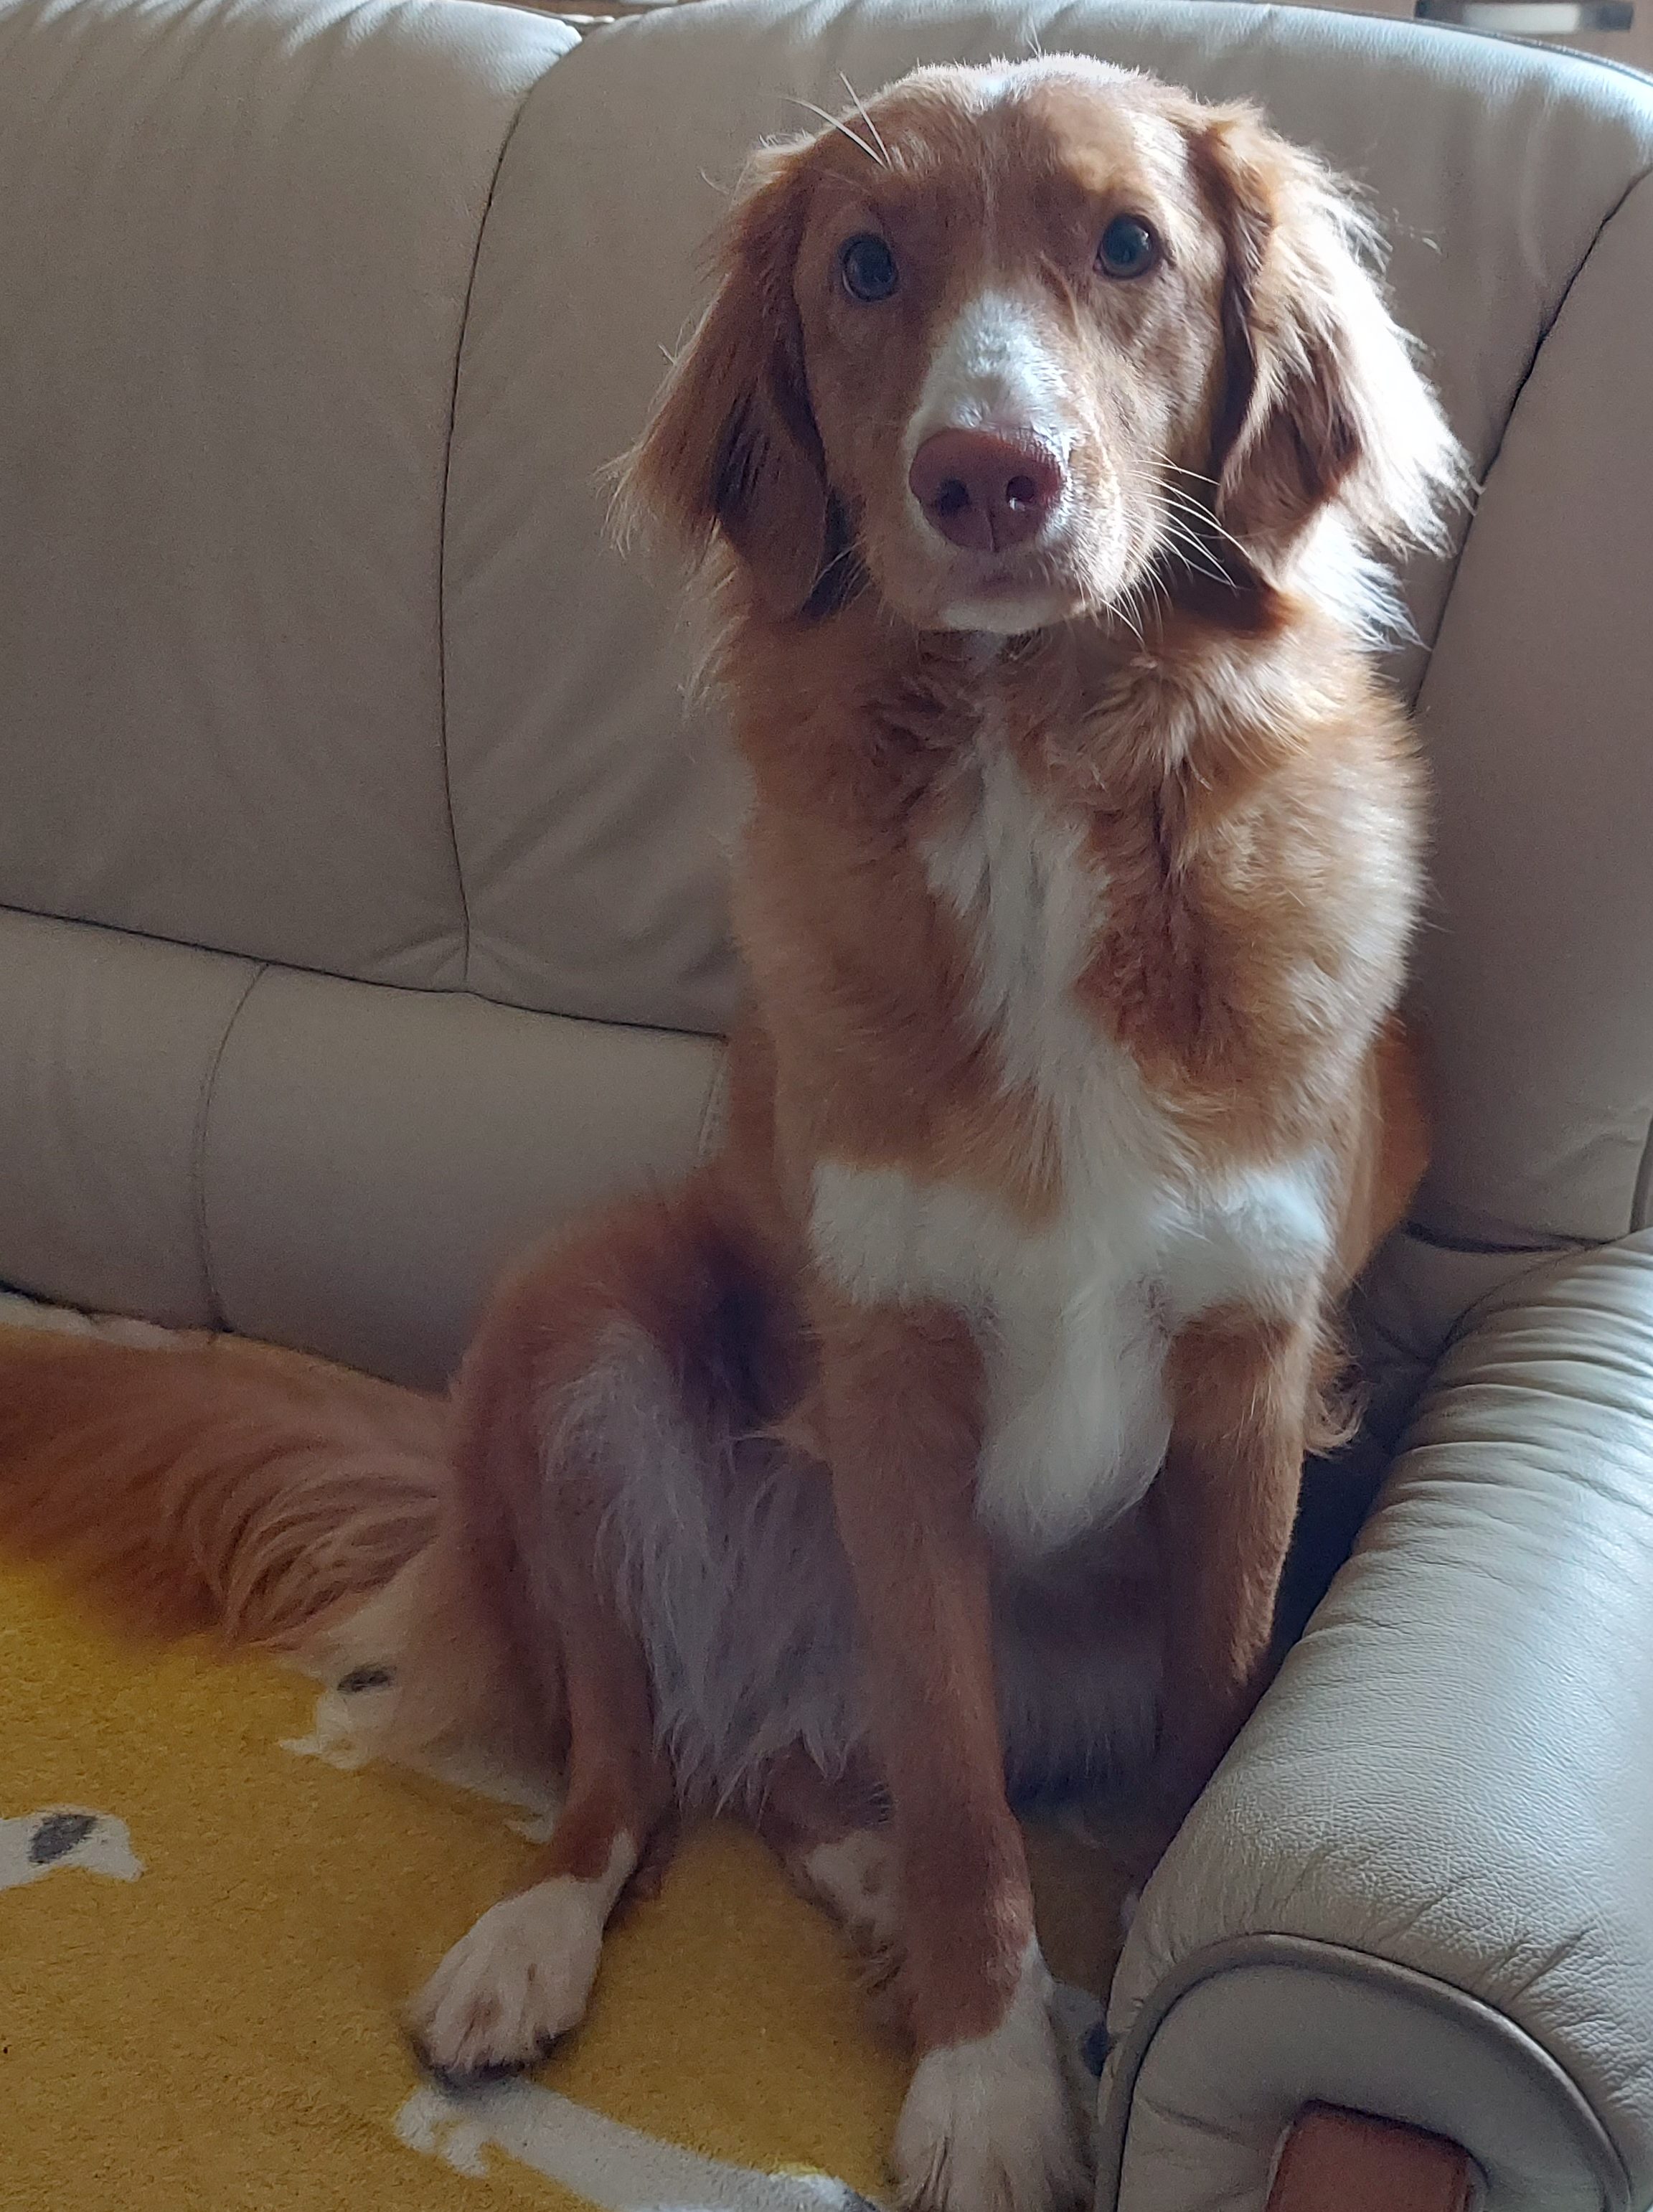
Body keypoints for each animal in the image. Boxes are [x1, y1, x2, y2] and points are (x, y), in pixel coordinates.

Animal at [0, 57, 1463, 2212]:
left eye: (1127, 245)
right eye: (864, 269)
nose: (987, 481)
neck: (1037, 766)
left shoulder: (1249, 1381)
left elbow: (1204, 1746)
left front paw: (1083, 1999)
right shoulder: (894, 1385)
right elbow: (956, 1796)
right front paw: (986, 2082)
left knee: (775, 1769)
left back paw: (853, 1878)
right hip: (575, 1326)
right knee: (632, 1775)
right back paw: (538, 1946)